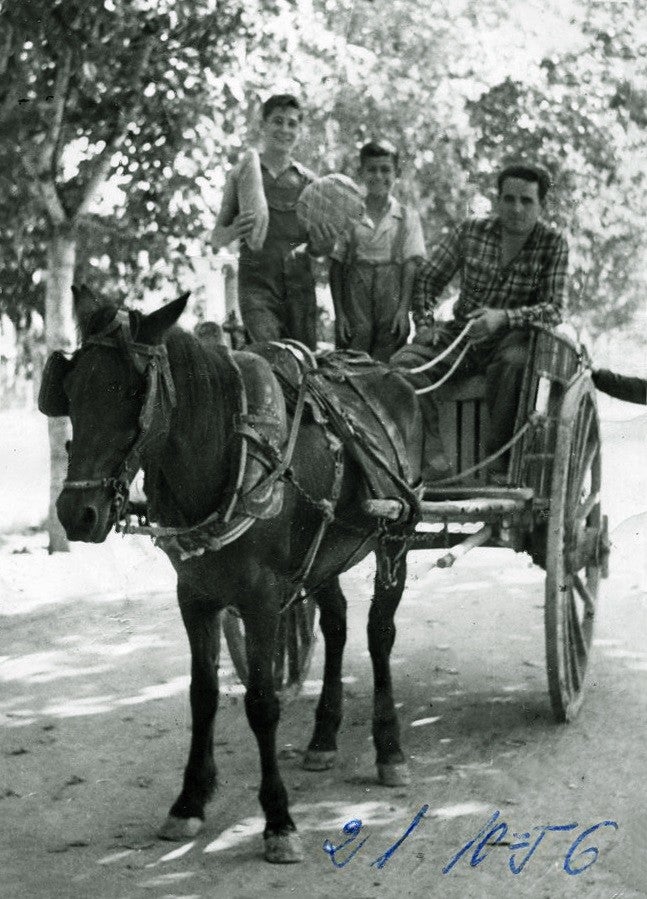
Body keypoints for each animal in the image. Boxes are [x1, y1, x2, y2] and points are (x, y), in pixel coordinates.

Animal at [44, 288, 420, 864]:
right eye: (67, 390)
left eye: (132, 390)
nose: (76, 514)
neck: (224, 455)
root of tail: (387, 373)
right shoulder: (194, 596)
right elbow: (202, 695)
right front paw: (189, 801)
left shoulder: (262, 600)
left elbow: (262, 703)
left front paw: (279, 820)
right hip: (324, 552)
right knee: (335, 625)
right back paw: (323, 739)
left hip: (395, 537)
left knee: (380, 635)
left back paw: (390, 748)